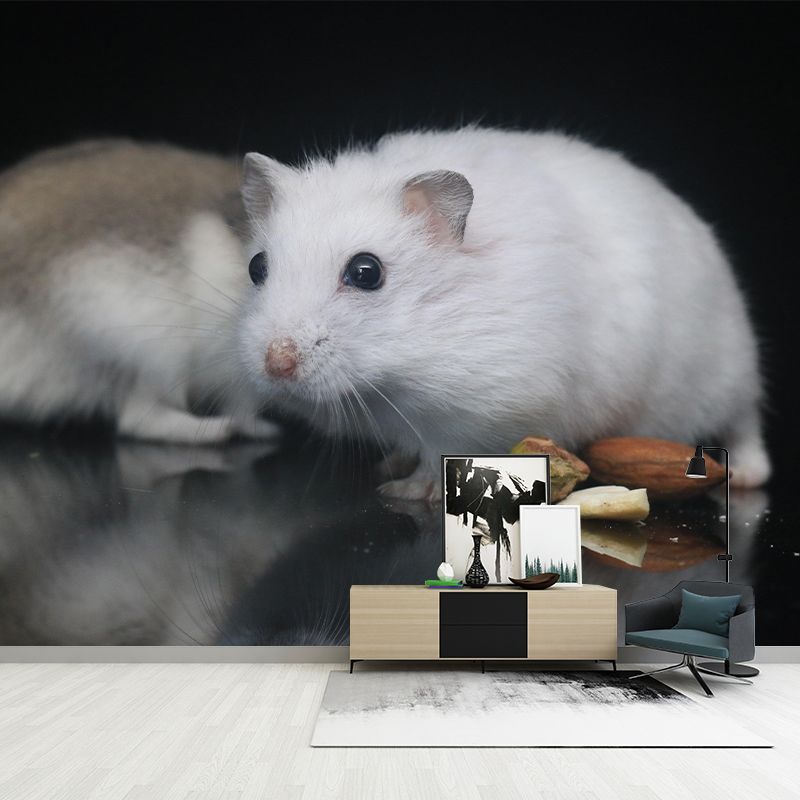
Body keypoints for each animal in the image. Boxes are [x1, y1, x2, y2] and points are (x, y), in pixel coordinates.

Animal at [238, 126, 770, 499]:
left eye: (366, 272)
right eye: (256, 267)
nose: (275, 366)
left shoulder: (489, 411)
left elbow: (438, 457)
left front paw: (406, 493)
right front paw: (391, 468)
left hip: (728, 374)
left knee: (745, 423)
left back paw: (746, 474)